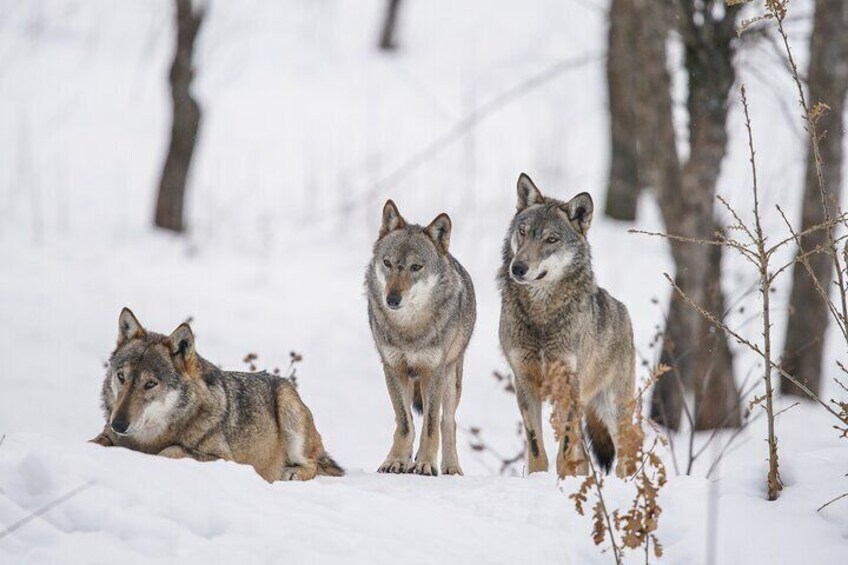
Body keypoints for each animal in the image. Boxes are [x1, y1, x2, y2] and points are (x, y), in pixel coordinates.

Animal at [90, 308, 344, 480]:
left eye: (150, 384)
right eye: (121, 377)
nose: (118, 424)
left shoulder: (223, 459)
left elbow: (171, 450)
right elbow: (97, 442)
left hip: (288, 409)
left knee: (313, 465)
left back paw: (291, 473)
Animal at [364, 200, 476, 474]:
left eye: (416, 267)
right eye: (387, 263)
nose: (392, 299)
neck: (410, 329)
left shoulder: (433, 371)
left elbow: (431, 425)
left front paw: (425, 463)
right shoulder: (393, 368)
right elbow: (405, 423)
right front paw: (396, 460)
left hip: (450, 379)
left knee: (448, 422)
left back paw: (451, 467)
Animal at [496, 174, 636, 478]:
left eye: (551, 239)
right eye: (523, 232)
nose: (518, 268)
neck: (542, 314)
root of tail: (623, 310)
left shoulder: (569, 386)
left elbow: (564, 451)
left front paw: (563, 481)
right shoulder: (524, 382)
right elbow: (537, 449)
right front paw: (538, 479)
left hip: (613, 411)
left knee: (625, 459)